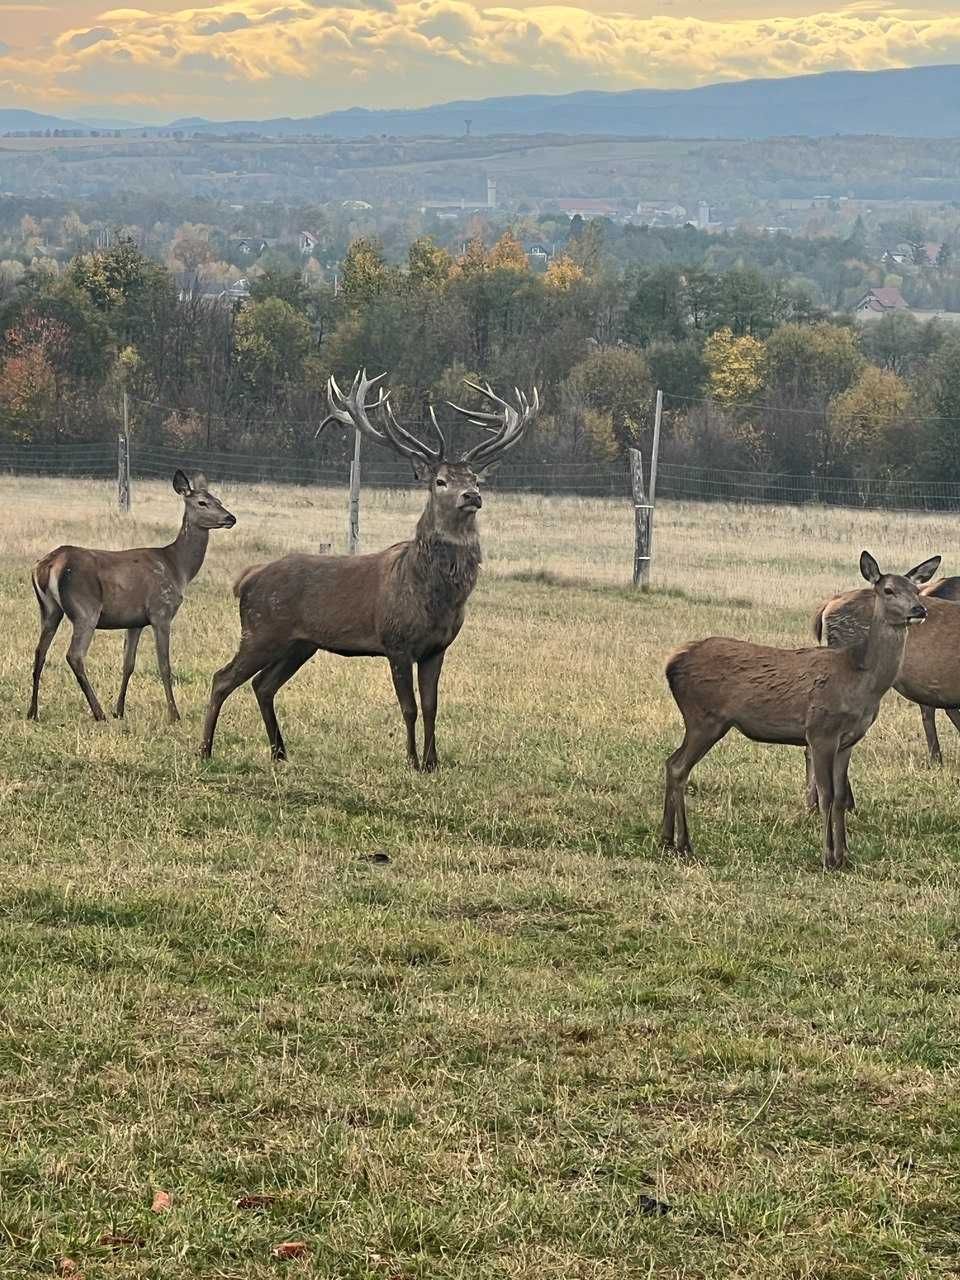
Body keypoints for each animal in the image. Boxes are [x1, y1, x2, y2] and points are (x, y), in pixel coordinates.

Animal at [27, 473, 238, 732]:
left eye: (218, 499)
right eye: (202, 502)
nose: (230, 518)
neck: (178, 568)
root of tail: (47, 565)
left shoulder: (135, 621)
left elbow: (128, 664)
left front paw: (119, 710)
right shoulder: (161, 611)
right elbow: (164, 665)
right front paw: (174, 714)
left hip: (49, 609)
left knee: (40, 651)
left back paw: (33, 711)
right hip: (86, 609)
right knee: (74, 655)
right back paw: (98, 713)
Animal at [200, 371, 542, 768]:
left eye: (474, 478)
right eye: (440, 481)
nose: (471, 496)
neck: (433, 596)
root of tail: (246, 579)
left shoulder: (437, 648)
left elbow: (432, 706)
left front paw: (433, 762)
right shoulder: (396, 642)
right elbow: (409, 707)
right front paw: (411, 761)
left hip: (300, 644)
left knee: (263, 685)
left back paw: (280, 752)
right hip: (260, 630)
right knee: (222, 678)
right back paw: (205, 749)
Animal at [665, 550, 942, 870]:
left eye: (916, 589)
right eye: (888, 590)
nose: (919, 609)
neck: (861, 680)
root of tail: (671, 665)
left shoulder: (848, 740)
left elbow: (840, 797)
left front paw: (845, 856)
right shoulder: (820, 731)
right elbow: (826, 795)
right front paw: (828, 858)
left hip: (701, 721)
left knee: (670, 762)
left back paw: (667, 840)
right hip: (704, 717)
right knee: (679, 768)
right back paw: (684, 844)